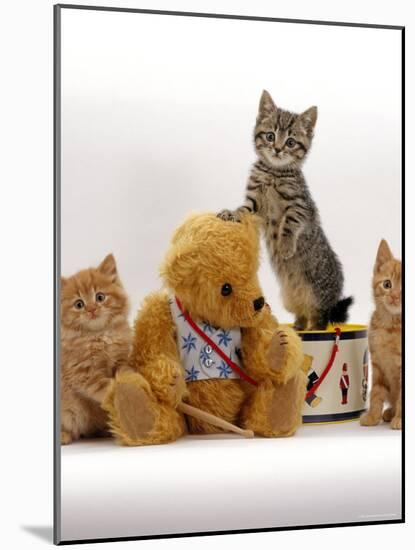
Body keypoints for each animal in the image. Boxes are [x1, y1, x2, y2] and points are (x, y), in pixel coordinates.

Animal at [60, 254, 131, 444]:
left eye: (100, 297)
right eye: (79, 304)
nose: (92, 309)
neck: (100, 335)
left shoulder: (121, 358)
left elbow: (125, 371)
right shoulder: (83, 373)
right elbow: (107, 386)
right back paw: (64, 436)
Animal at [219, 91, 352, 332]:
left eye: (290, 142)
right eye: (270, 136)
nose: (278, 149)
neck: (274, 171)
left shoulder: (301, 206)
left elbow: (290, 223)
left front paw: (286, 245)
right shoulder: (255, 202)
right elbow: (243, 210)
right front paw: (231, 213)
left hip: (317, 297)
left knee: (319, 321)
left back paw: (312, 329)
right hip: (291, 298)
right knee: (302, 314)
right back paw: (297, 327)